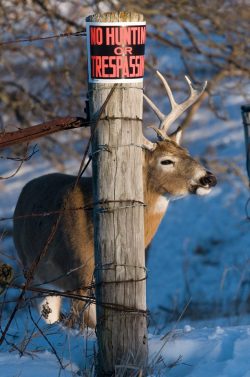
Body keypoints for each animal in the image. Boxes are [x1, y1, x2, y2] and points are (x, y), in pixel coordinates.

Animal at [13, 70, 217, 326]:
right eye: (166, 160)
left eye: (187, 152)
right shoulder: (79, 275)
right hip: (31, 270)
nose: (208, 178)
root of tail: (24, 190)